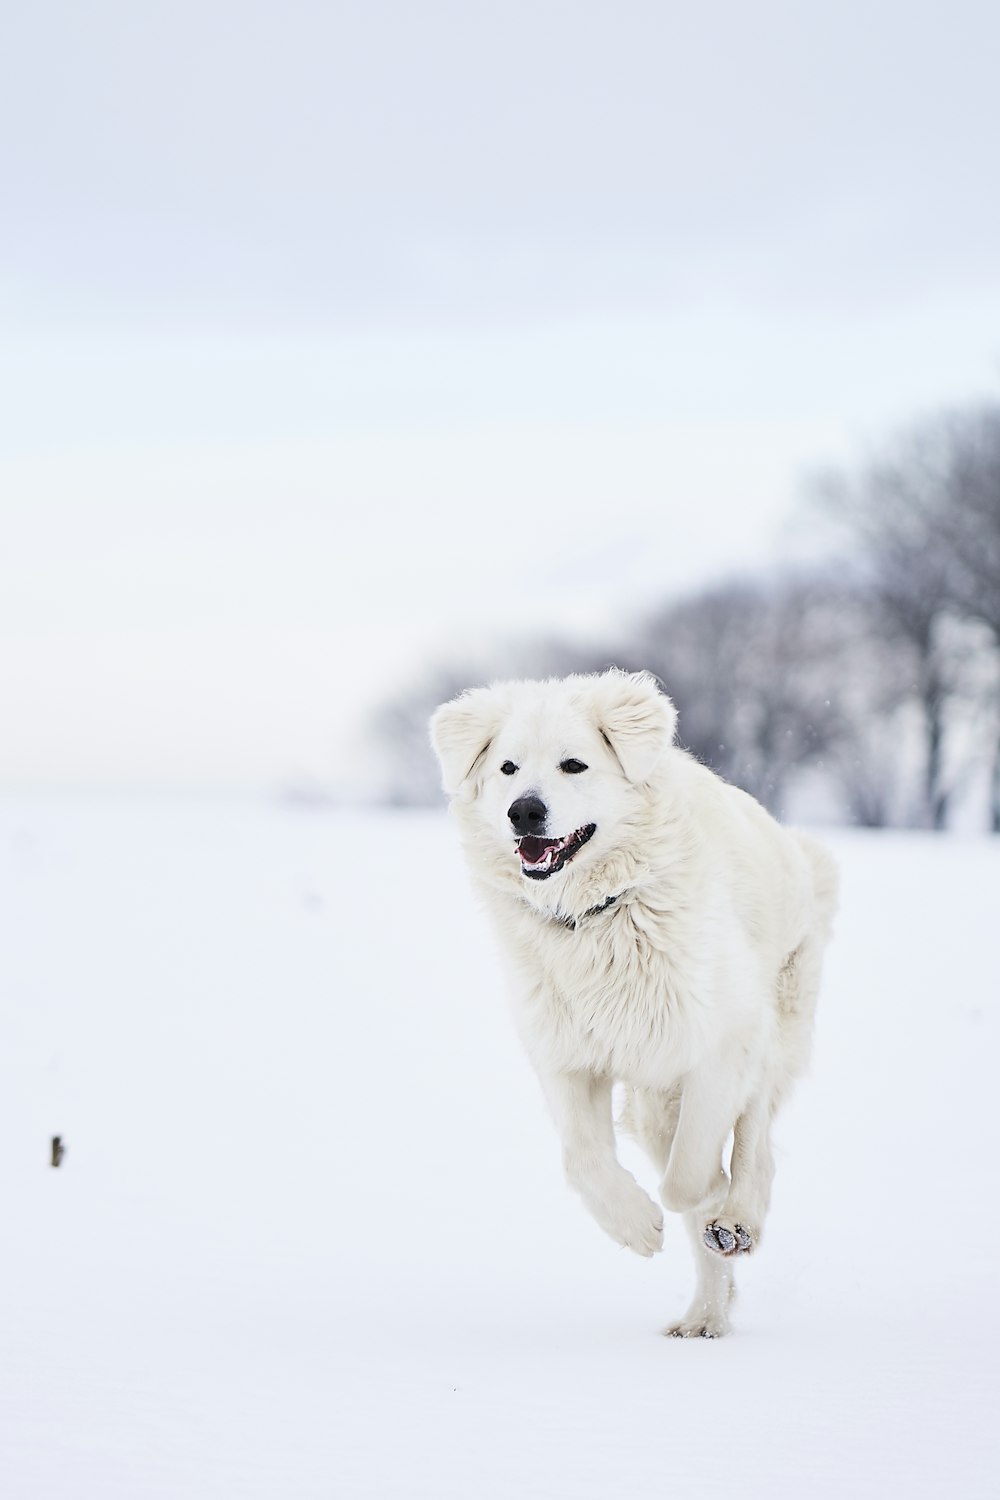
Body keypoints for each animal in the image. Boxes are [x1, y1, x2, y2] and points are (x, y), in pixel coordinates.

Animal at [431, 669, 839, 1338]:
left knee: (756, 1143)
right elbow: (583, 1158)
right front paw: (636, 1227)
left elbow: (691, 1172)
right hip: (654, 1099)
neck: (598, 916)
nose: (524, 811)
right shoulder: (566, 1055)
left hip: (772, 1026)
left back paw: (735, 1222)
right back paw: (704, 1318)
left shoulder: (722, 1039)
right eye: (508, 767)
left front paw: (694, 1205)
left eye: (574, 764)